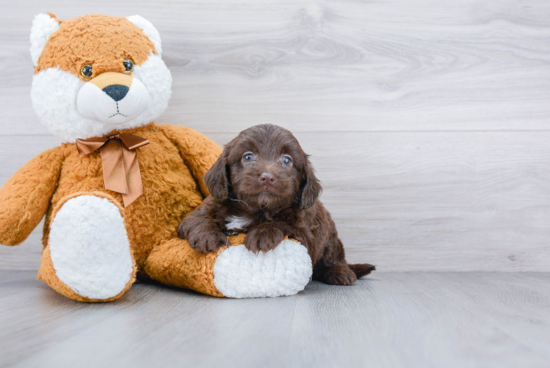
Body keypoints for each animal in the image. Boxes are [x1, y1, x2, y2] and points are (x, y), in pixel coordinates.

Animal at [179, 123, 378, 284]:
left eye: (287, 160)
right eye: (248, 157)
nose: (267, 177)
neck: (254, 209)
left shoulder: (304, 236)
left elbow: (282, 223)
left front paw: (262, 234)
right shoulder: (206, 207)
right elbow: (197, 218)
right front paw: (207, 235)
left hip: (329, 238)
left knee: (335, 257)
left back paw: (341, 273)